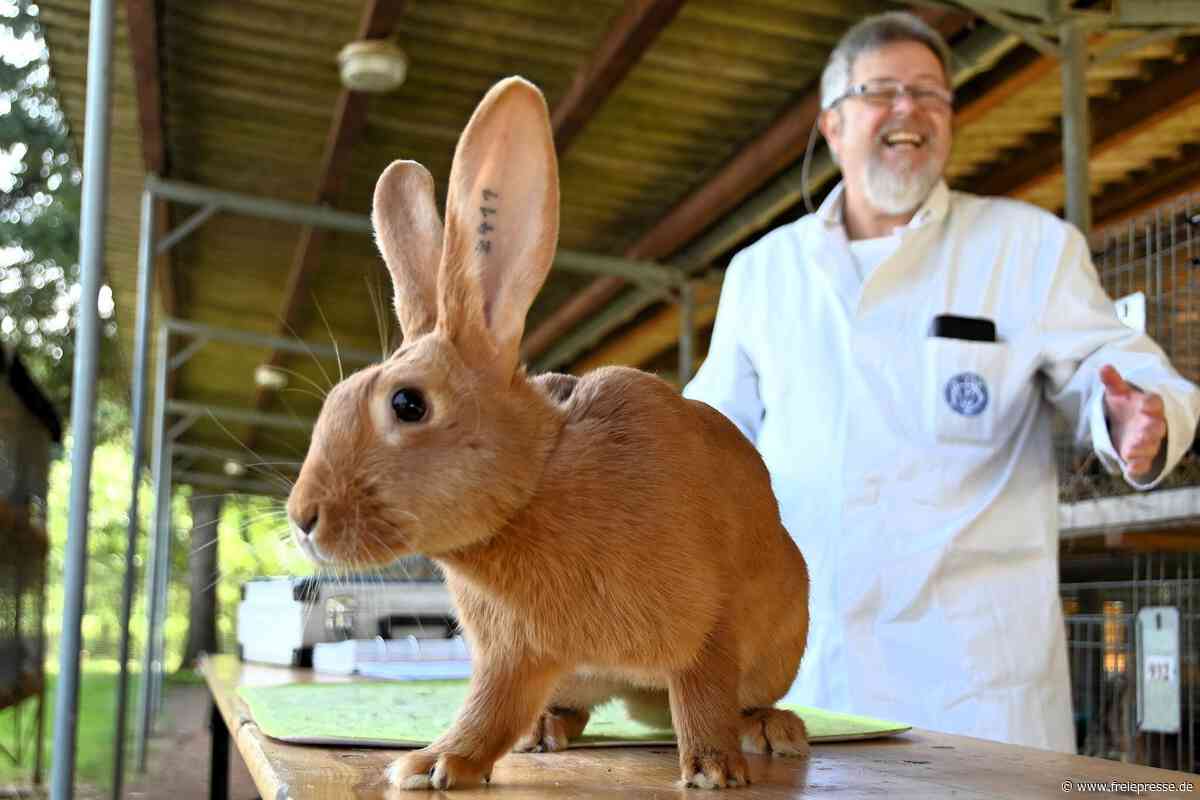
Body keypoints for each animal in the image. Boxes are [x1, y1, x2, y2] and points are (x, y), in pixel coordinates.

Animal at [286, 76, 811, 791]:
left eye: (408, 403)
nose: (302, 519)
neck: (535, 487)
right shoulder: (515, 653)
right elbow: (487, 710)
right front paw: (433, 764)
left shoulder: (710, 626)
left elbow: (703, 691)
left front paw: (712, 771)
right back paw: (544, 732)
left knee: (739, 697)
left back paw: (773, 729)